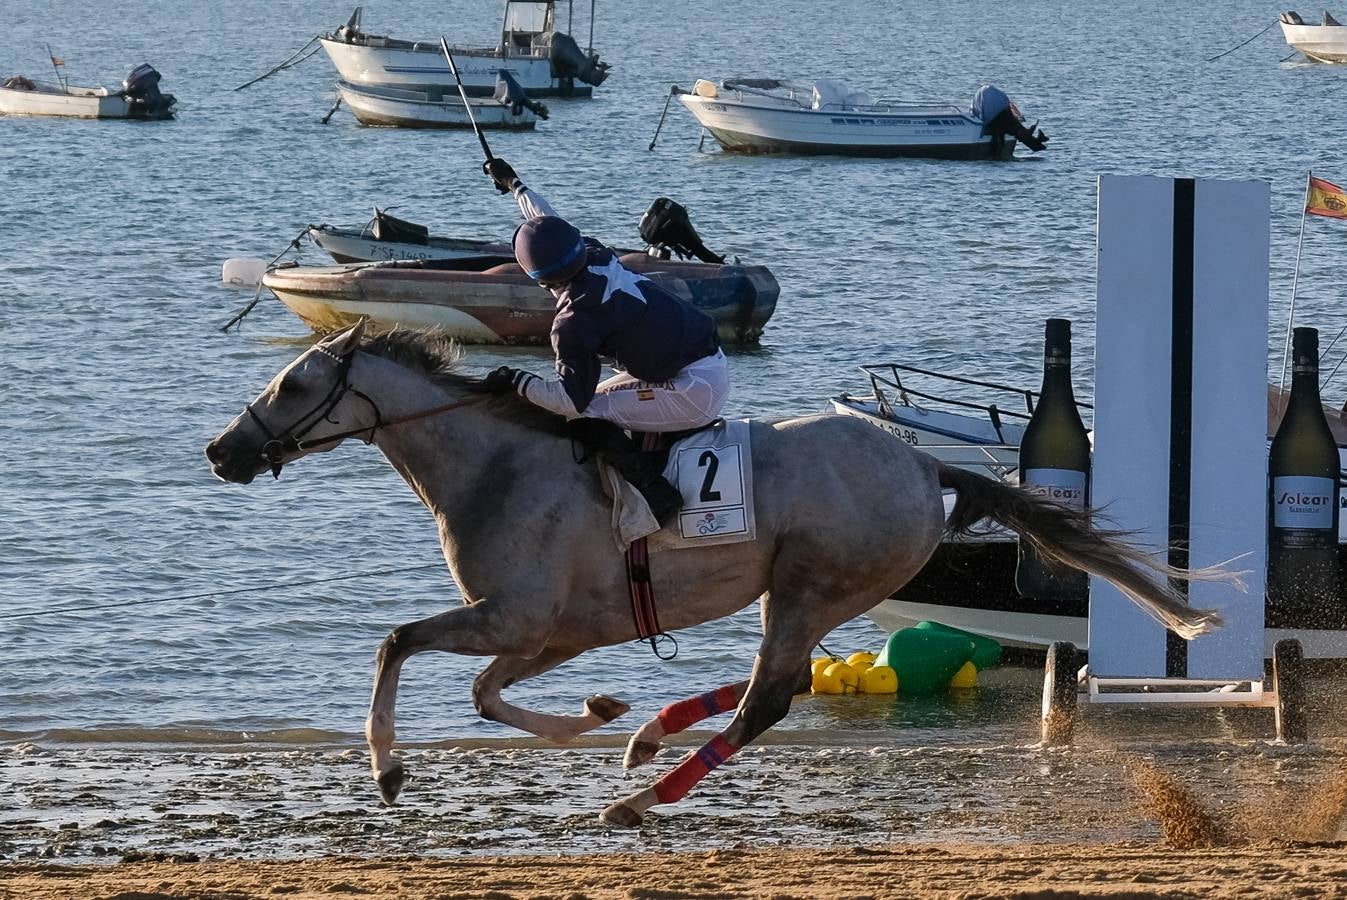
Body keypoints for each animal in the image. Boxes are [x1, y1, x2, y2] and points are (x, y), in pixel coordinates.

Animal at [207, 319, 1223, 824]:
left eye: (295, 387)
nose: (223, 451)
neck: (494, 464)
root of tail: (924, 464)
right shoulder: (554, 630)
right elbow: (488, 695)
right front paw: (599, 713)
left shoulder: (513, 617)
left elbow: (398, 644)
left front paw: (386, 770)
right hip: (809, 592)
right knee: (790, 679)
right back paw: (651, 735)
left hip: (812, 582)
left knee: (773, 694)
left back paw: (639, 799)